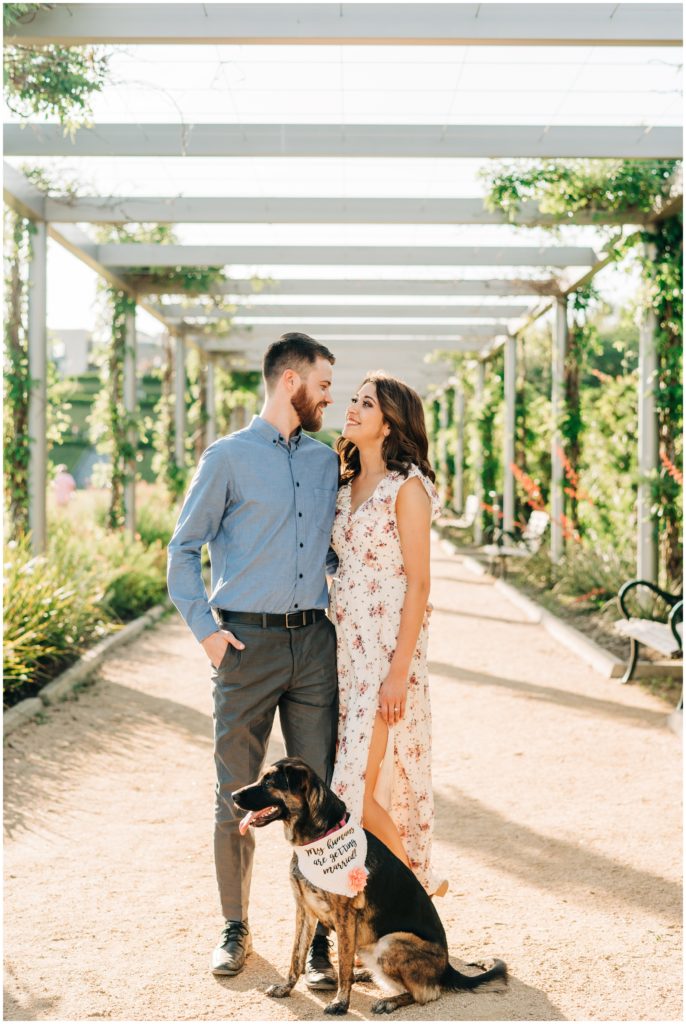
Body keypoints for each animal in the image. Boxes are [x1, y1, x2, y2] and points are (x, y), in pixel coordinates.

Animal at [233, 757, 507, 1011]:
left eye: (268, 782)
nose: (233, 795)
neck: (318, 837)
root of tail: (447, 968)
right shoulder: (304, 911)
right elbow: (296, 958)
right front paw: (285, 988)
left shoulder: (344, 916)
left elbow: (342, 965)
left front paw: (341, 1003)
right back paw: (366, 975)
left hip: (390, 942)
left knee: (426, 994)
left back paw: (389, 1001)